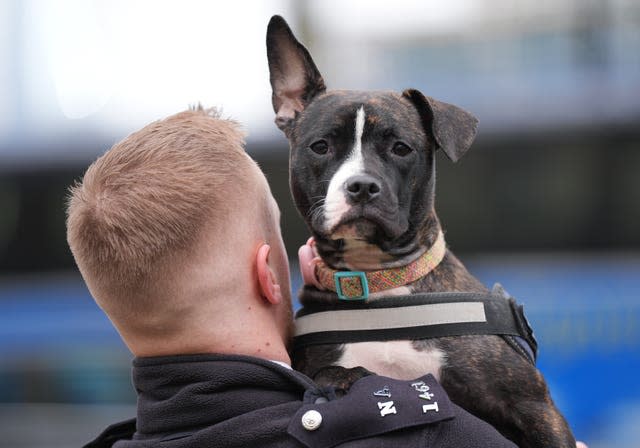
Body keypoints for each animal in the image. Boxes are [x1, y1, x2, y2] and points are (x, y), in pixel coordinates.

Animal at [268, 14, 576, 448]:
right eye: (321, 146)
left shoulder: (536, 409)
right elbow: (332, 372)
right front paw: (349, 379)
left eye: (401, 148)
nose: (362, 186)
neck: (381, 284)